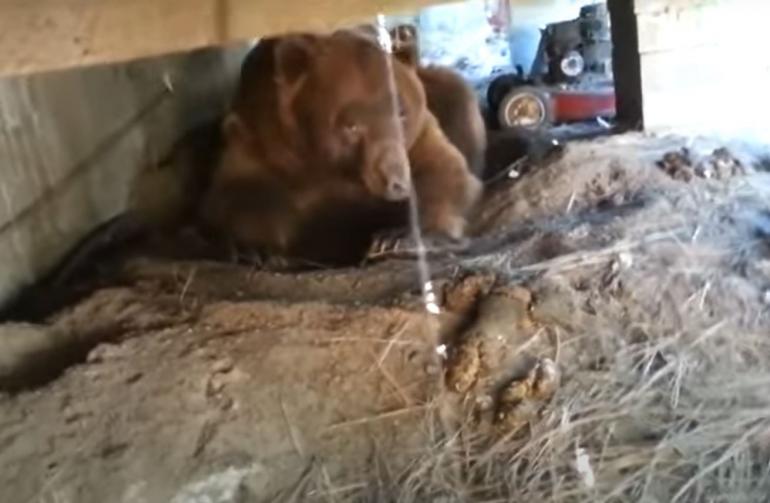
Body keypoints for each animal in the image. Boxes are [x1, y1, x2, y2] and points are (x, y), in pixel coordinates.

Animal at [198, 27, 476, 266]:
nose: (395, 182)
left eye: (401, 112)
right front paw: (254, 249)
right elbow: (240, 192)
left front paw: (399, 239)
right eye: (351, 125)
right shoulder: (262, 139)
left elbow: (443, 168)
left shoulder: (416, 137)